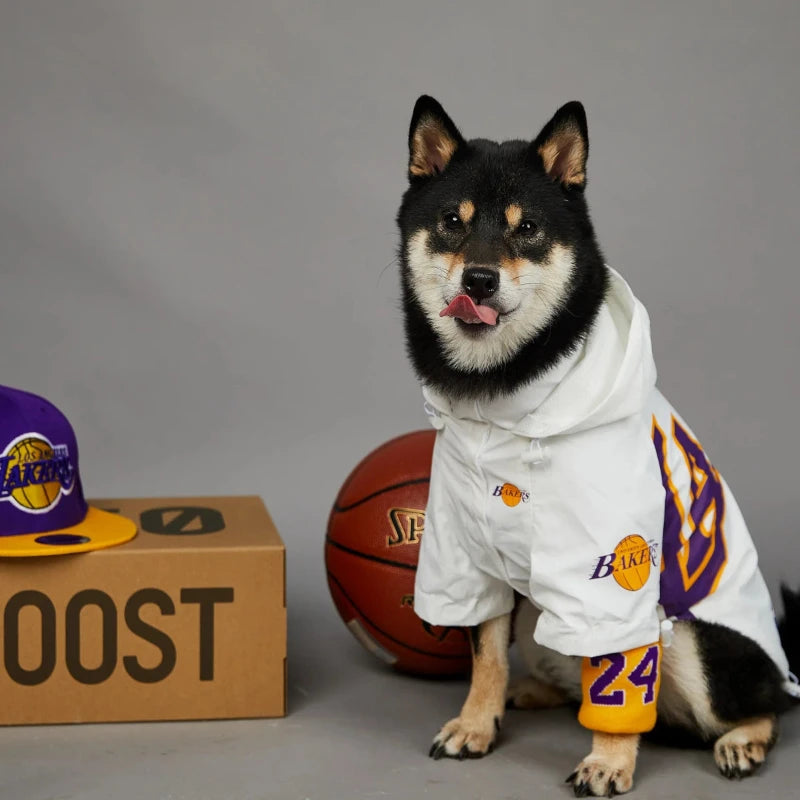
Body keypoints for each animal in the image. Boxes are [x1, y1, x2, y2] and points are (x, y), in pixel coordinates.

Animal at [396, 94, 800, 792]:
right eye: (452, 221)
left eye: (527, 228)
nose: (479, 280)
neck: (503, 404)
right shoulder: (467, 553)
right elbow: (484, 652)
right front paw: (476, 722)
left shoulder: (614, 568)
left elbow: (617, 673)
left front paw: (608, 762)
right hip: (539, 615)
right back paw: (532, 692)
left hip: (697, 641)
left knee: (760, 703)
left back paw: (742, 740)